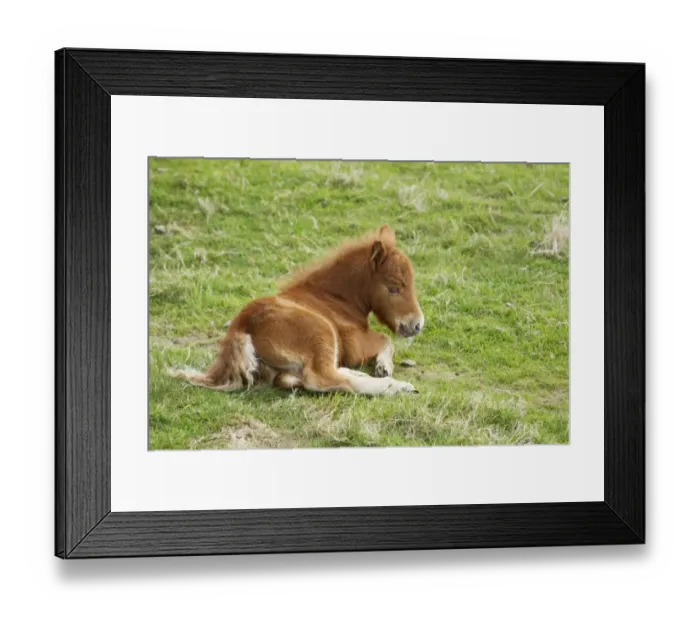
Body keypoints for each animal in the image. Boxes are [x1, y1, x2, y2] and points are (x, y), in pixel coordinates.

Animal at [170, 225, 424, 396]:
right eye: (394, 288)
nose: (417, 324)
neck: (334, 297)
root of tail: (241, 328)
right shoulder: (355, 343)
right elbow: (385, 340)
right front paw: (385, 369)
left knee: (298, 377)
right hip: (321, 333)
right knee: (321, 378)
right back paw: (397, 387)